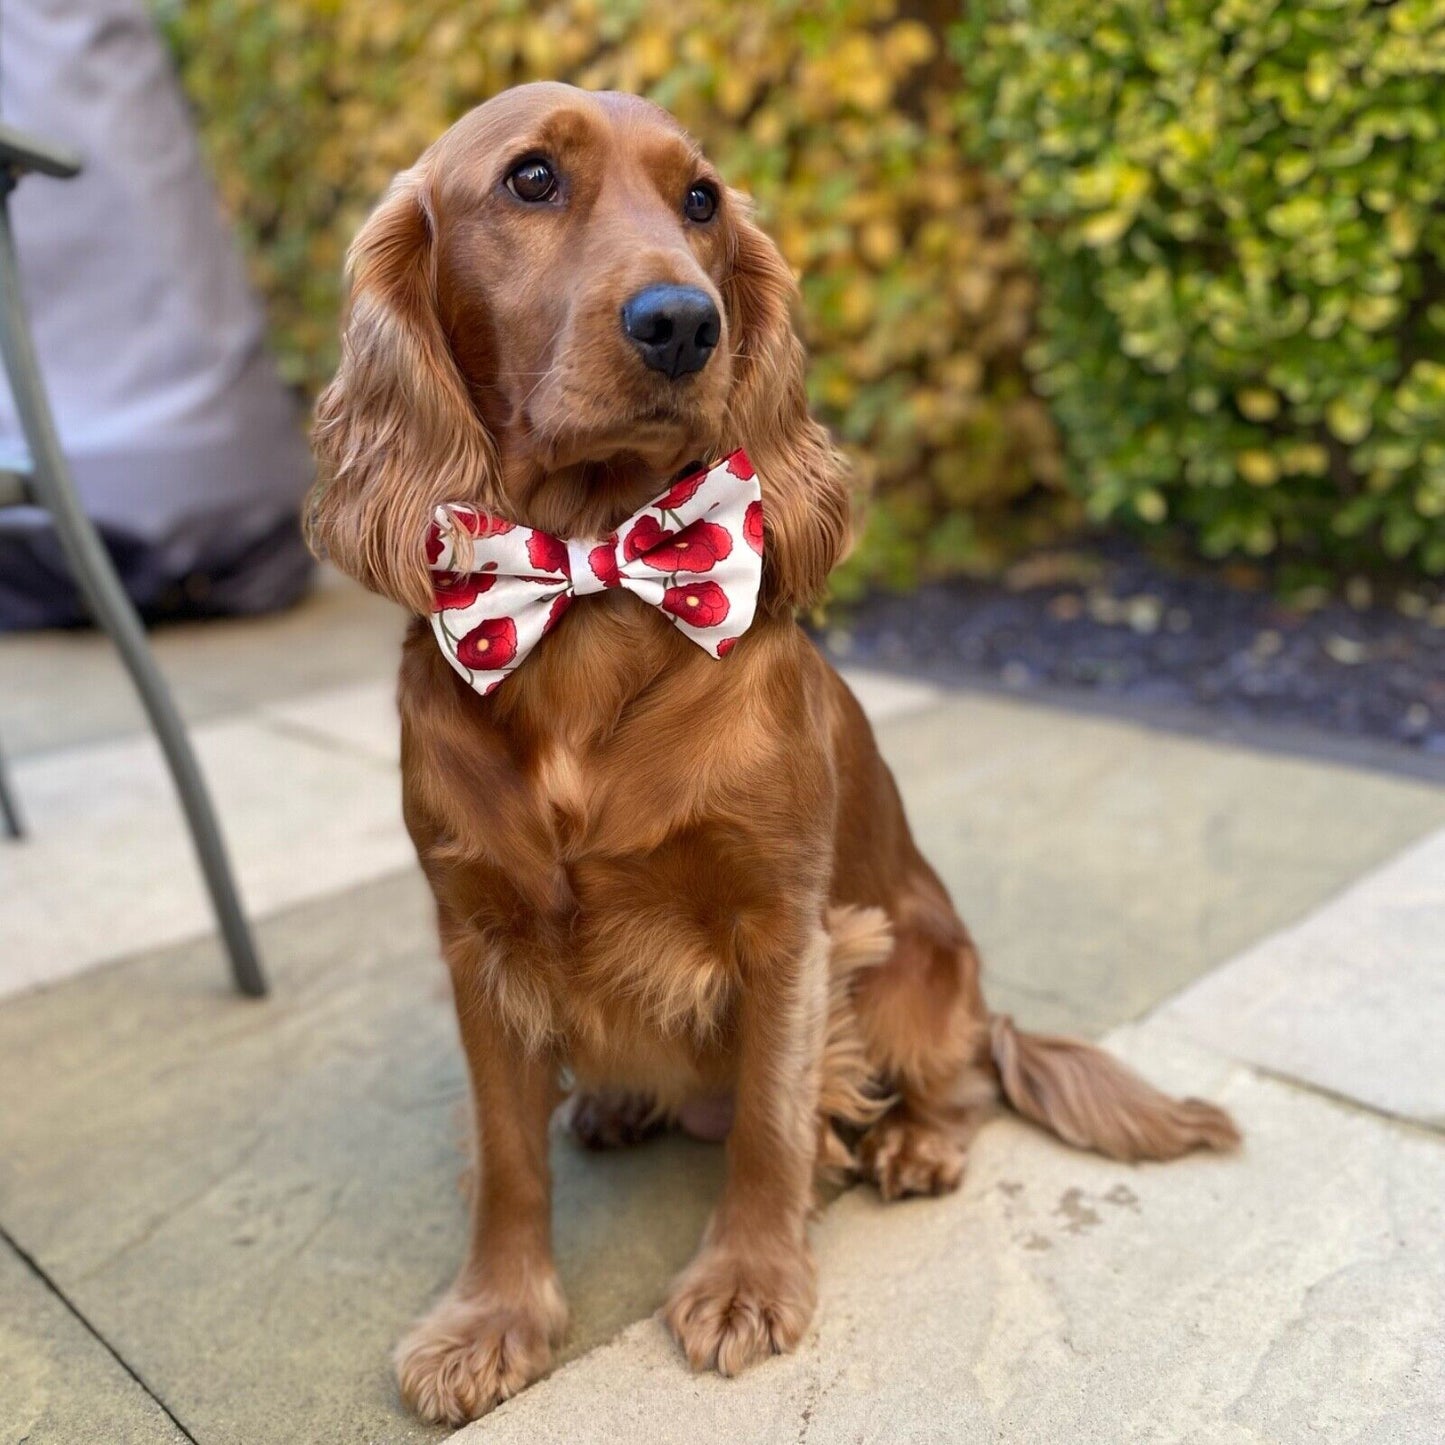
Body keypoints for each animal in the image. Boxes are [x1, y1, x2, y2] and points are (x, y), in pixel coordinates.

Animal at [310, 84, 1236, 1427]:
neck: (590, 581)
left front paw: (748, 1278)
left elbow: (767, 1119)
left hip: (916, 963)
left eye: (699, 199)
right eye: (531, 178)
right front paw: (492, 1317)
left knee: (956, 1077)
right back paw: (610, 1101)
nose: (682, 321)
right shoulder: (476, 935)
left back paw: (913, 1140)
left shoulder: (784, 924)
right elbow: (503, 1154)